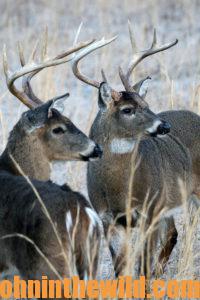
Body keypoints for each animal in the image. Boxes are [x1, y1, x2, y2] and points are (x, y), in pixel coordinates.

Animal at [70, 27, 200, 278]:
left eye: (146, 103)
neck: (121, 190)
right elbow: (122, 270)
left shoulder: (151, 211)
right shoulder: (109, 219)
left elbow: (143, 267)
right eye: (127, 109)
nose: (164, 126)